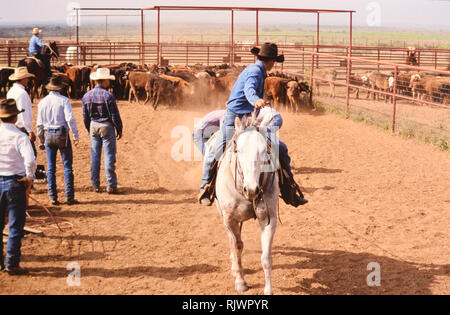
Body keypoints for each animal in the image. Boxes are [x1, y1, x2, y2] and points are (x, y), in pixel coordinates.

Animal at [215, 114, 282, 296]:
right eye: (239, 150)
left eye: (264, 151)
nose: (252, 189)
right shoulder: (229, 219)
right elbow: (237, 246)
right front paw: (240, 281)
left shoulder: (269, 219)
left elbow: (266, 257)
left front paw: (268, 289)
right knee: (232, 241)